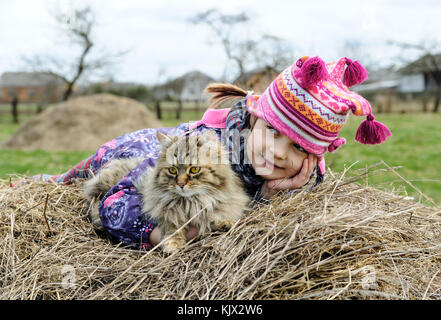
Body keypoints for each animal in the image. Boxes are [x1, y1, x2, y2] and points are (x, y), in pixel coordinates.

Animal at [82, 129, 248, 252]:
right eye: (173, 170)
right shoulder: (165, 212)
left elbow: (215, 216)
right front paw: (173, 244)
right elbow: (172, 227)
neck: (190, 202)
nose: (181, 184)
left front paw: (224, 223)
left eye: (194, 169)